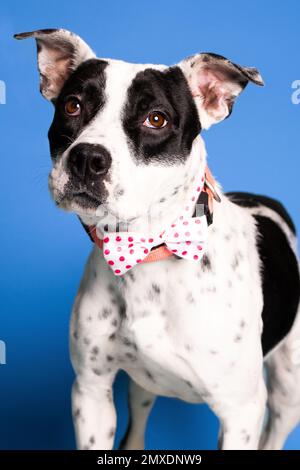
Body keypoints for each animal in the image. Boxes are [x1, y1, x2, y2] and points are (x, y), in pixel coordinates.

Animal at [15, 27, 300, 450]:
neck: (147, 252)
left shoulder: (241, 413)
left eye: (156, 119)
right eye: (72, 105)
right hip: (141, 387)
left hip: (286, 391)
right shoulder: (91, 391)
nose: (87, 158)